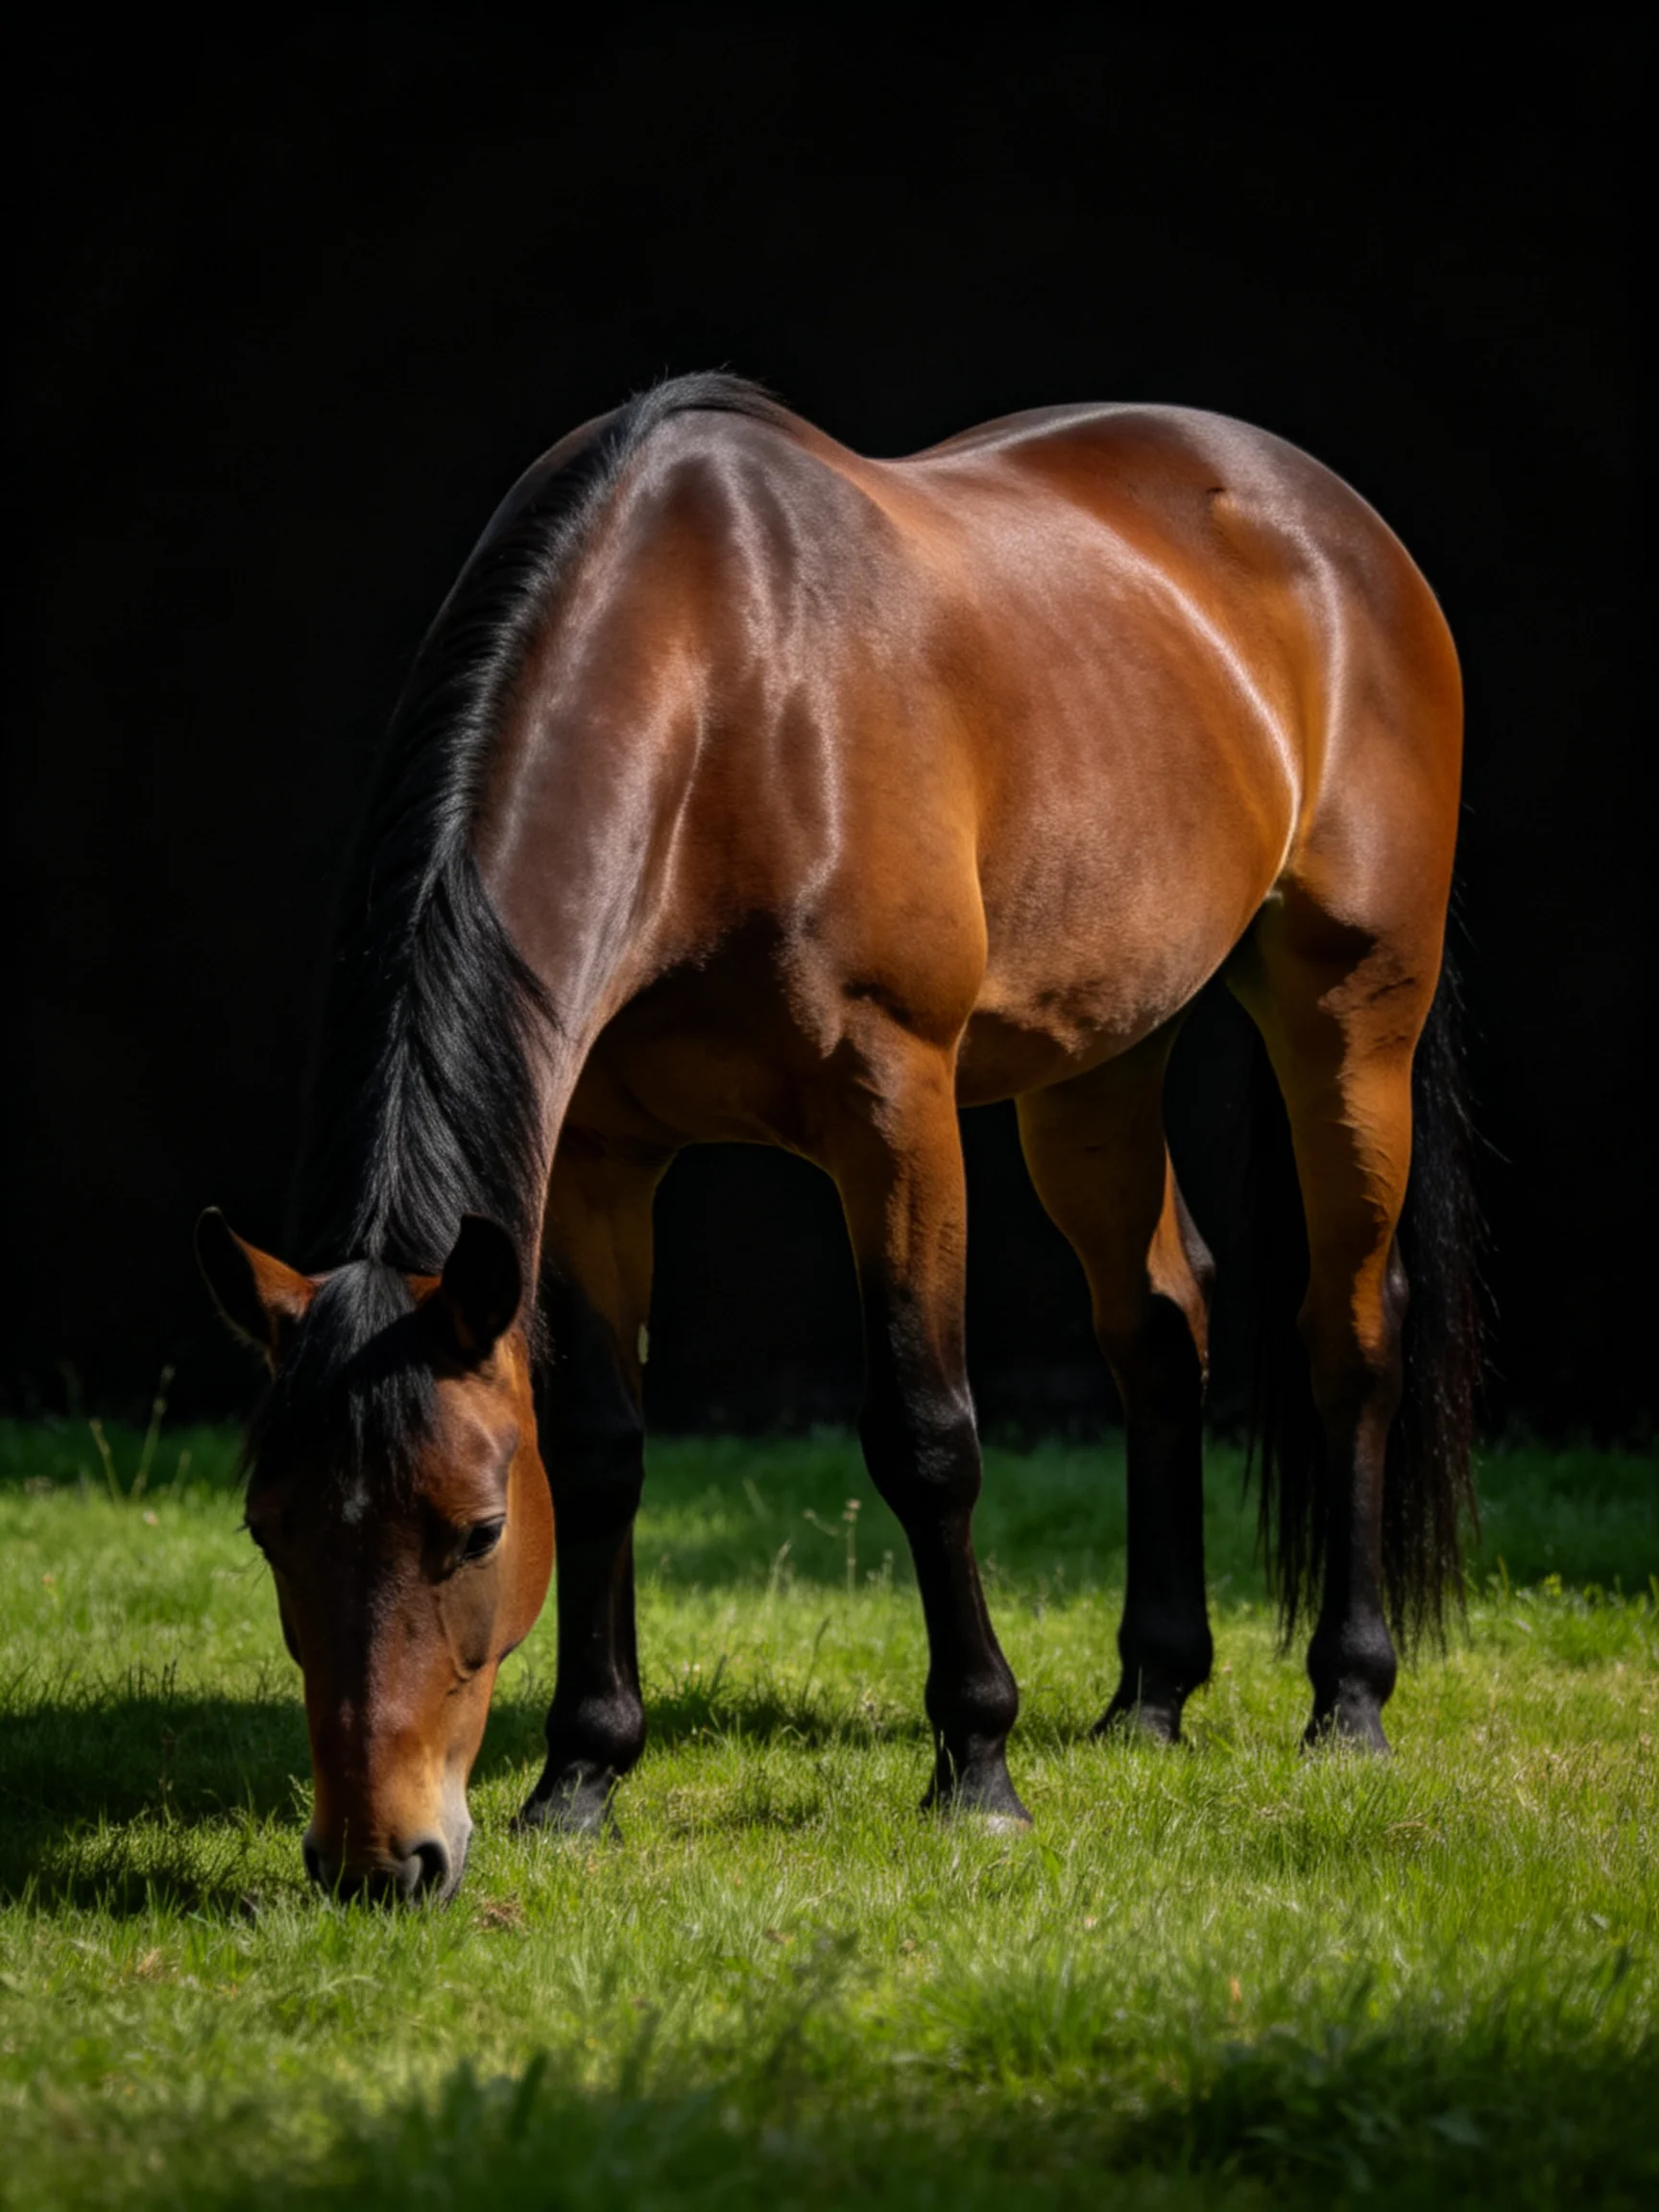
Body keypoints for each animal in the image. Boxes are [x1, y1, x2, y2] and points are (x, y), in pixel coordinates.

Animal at [197, 373, 1480, 1902]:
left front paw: (978, 1766)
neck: (720, 700)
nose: (378, 1861)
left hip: (1350, 1018)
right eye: (267, 1525)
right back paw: (1151, 1696)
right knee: (1162, 1328)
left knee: (1351, 1336)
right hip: (1101, 1061)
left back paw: (1349, 1699)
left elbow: (925, 1434)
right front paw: (581, 1775)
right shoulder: (596, 1165)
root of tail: (1336, 523)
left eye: (479, 1530)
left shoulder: (896, 1117)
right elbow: (605, 1448)